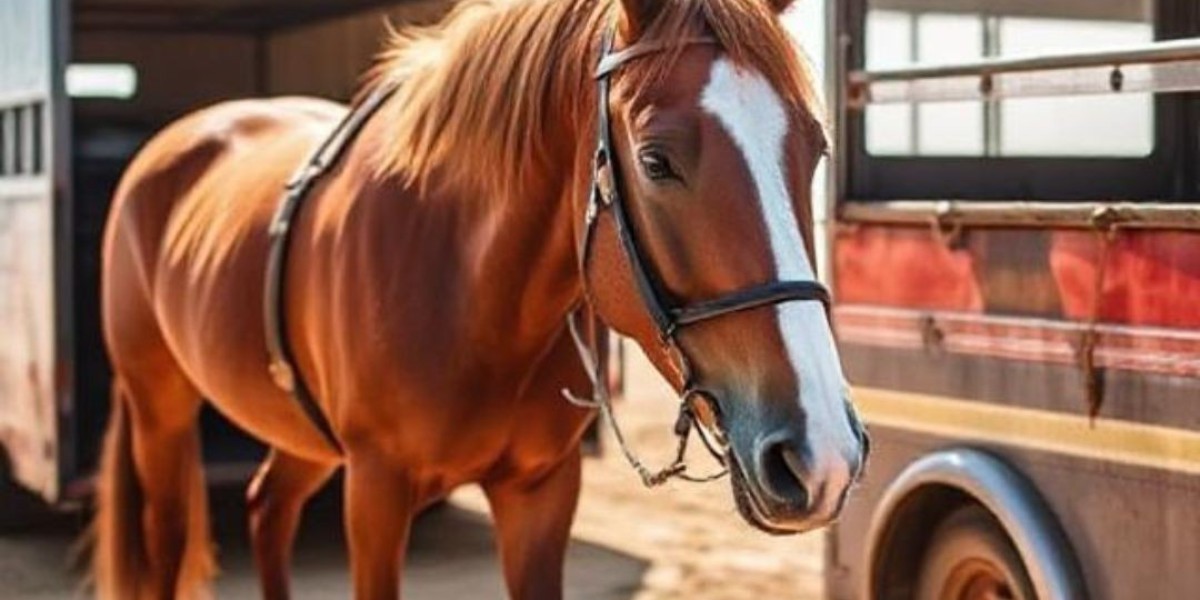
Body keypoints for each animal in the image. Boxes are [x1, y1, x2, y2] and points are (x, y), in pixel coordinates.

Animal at [89, 0, 868, 597]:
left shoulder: (540, 494)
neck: (468, 291)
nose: (823, 454)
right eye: (655, 159)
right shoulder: (375, 493)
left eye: (816, 148)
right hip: (160, 413)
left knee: (267, 510)